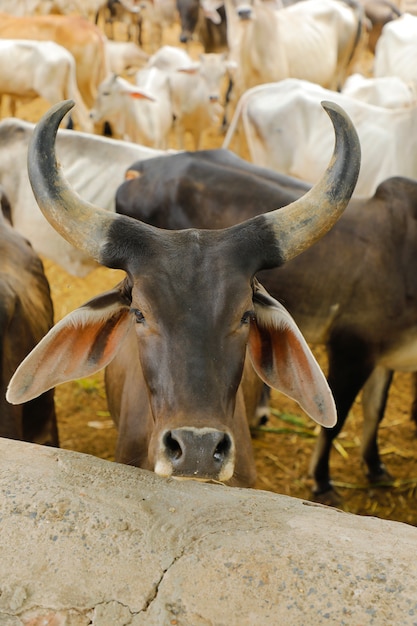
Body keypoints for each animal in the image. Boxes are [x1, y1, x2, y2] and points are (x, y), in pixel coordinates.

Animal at [114, 149, 417, 500]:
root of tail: (141, 169)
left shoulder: (383, 355)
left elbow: (375, 411)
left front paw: (376, 468)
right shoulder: (352, 348)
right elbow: (336, 421)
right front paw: (323, 482)